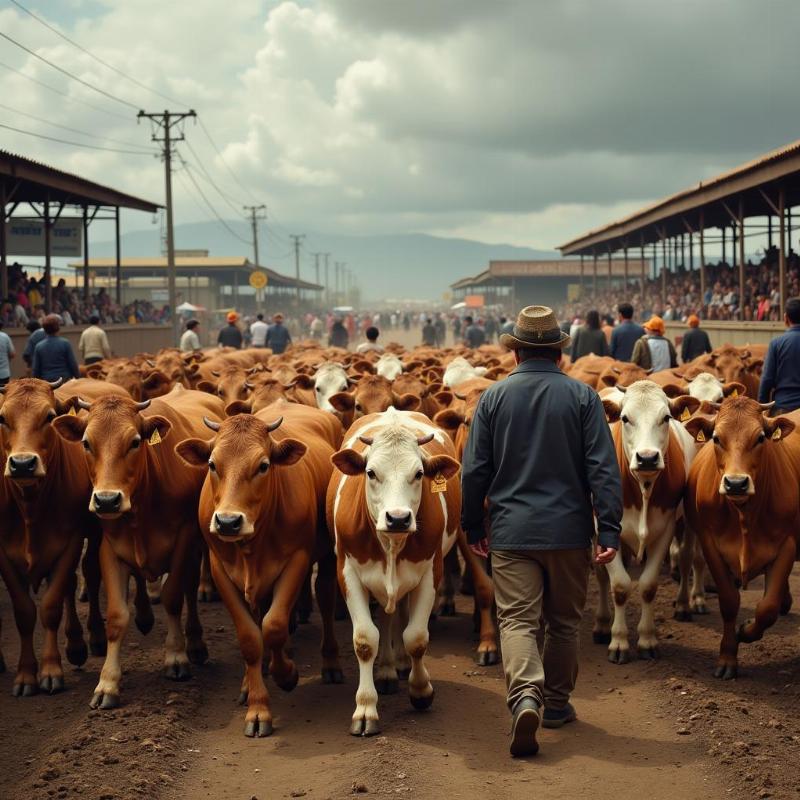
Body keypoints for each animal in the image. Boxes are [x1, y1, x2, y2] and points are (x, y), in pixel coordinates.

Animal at [53, 386, 223, 708]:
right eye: (86, 443)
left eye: (134, 442)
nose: (107, 500)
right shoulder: (109, 548)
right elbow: (117, 616)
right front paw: (107, 683)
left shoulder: (183, 540)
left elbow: (173, 598)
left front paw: (176, 657)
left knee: (190, 589)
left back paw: (195, 644)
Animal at [175, 406, 340, 736]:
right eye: (212, 464)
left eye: (263, 466)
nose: (228, 522)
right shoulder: (221, 569)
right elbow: (251, 637)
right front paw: (257, 706)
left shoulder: (298, 560)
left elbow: (274, 626)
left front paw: (287, 674)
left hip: (327, 558)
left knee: (326, 602)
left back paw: (329, 663)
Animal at [684, 396, 796, 680]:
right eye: (716, 438)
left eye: (760, 438)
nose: (735, 483)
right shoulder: (710, 544)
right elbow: (729, 601)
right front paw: (727, 657)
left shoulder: (787, 545)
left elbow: (767, 609)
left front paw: (744, 631)